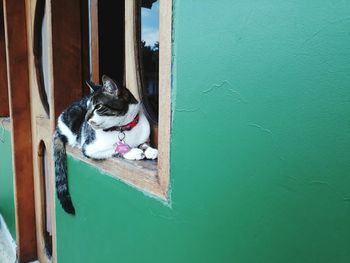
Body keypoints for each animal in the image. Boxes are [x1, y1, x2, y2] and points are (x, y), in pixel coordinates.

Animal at [53, 75, 157, 216]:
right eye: (88, 108)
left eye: (98, 107)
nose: (86, 119)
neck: (123, 128)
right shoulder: (89, 148)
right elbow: (115, 148)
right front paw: (132, 151)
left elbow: (144, 143)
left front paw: (149, 150)